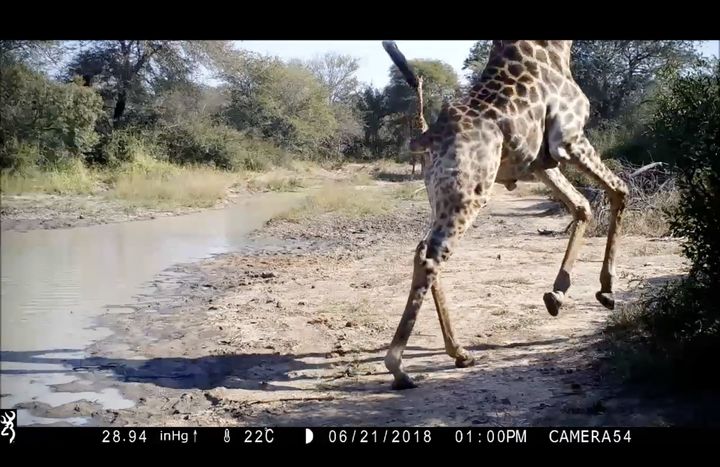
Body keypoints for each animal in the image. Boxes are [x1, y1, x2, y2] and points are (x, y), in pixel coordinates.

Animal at [382, 41, 632, 392]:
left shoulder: (541, 161)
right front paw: (606, 289)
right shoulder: (568, 139)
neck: (557, 49)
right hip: (469, 193)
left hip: (441, 194)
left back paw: (460, 352)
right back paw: (399, 368)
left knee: (423, 253)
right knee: (431, 260)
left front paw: (559, 294)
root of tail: (426, 138)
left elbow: (582, 205)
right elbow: (620, 190)